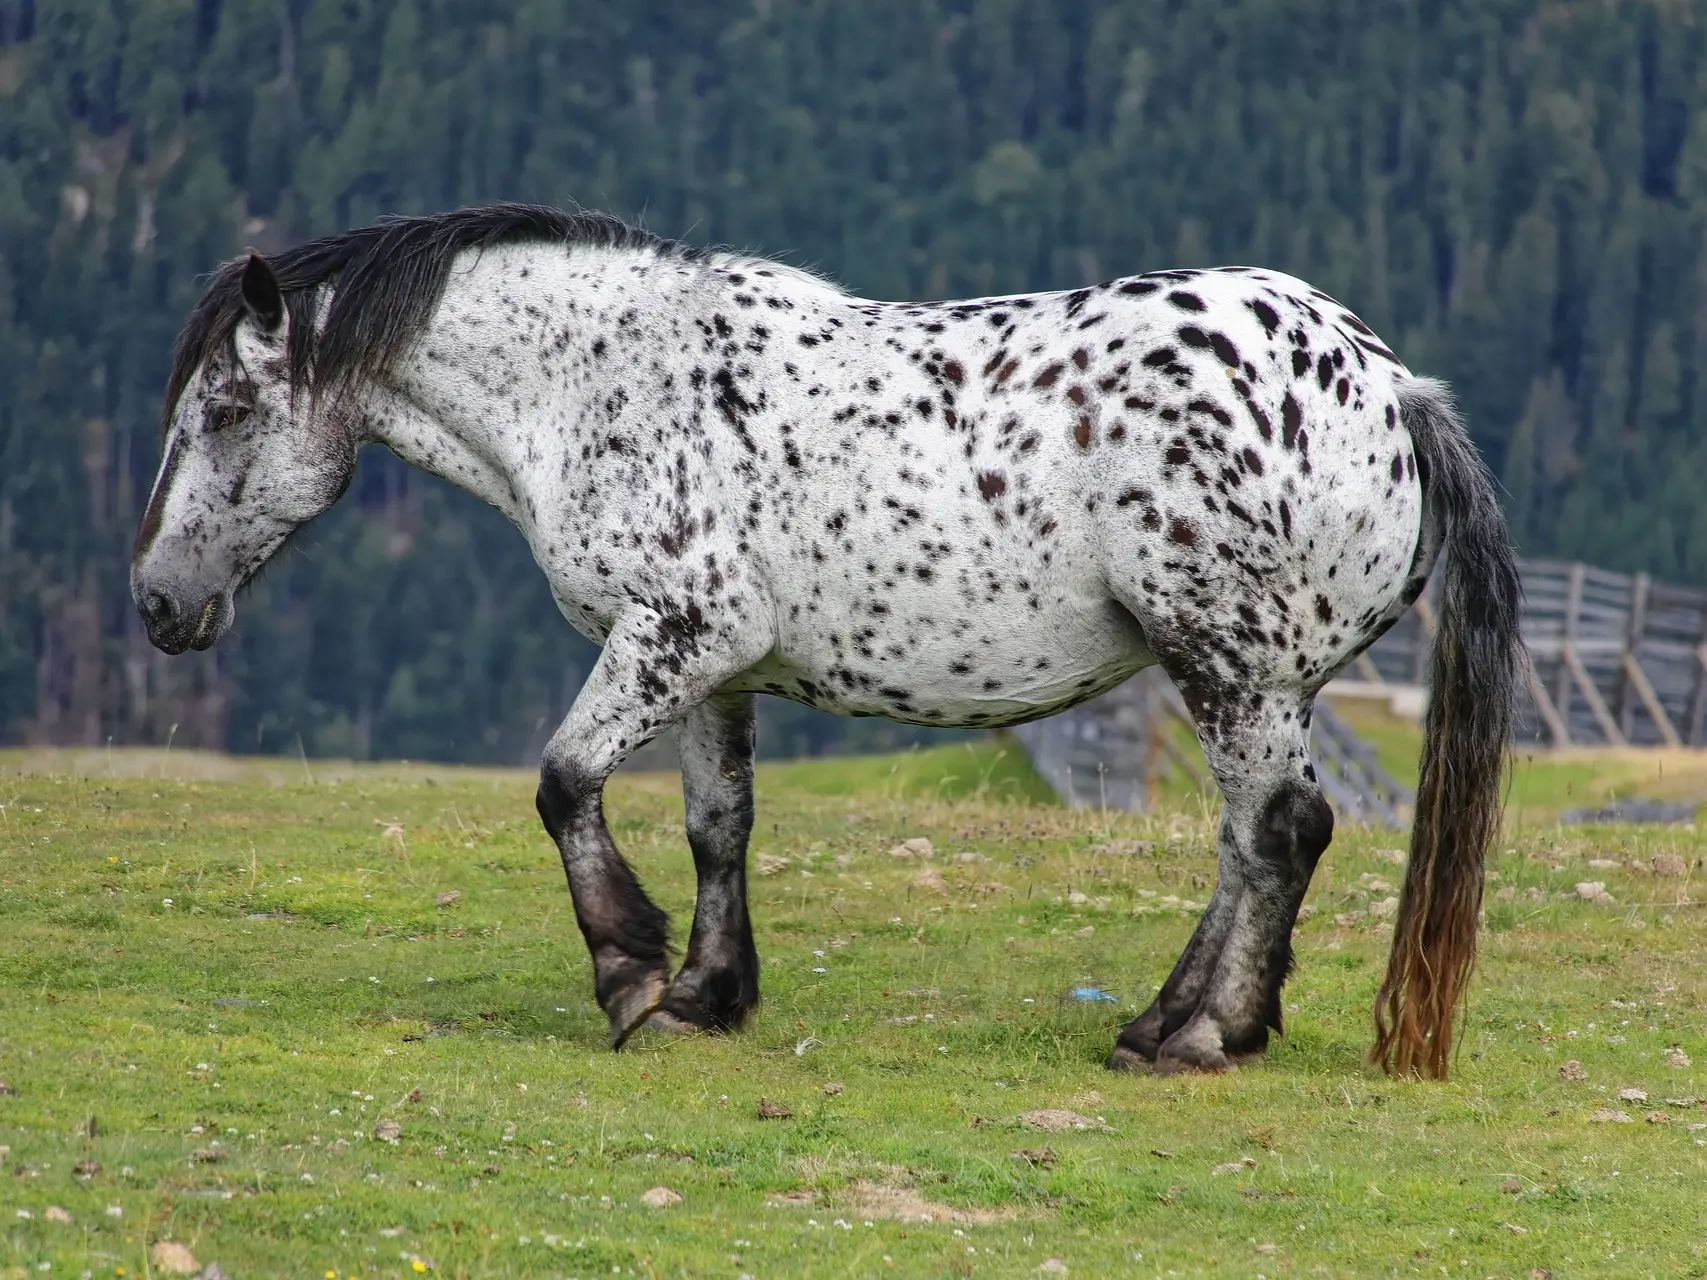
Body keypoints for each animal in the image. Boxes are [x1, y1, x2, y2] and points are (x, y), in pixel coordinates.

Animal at [133, 203, 1522, 1085]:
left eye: (228, 407)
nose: (156, 602)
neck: (605, 381)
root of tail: (1393, 388)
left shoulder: (672, 633)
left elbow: (564, 780)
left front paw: (629, 974)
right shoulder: (711, 668)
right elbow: (718, 825)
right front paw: (707, 994)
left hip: (1229, 667)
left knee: (1278, 830)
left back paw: (1199, 1035)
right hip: (1255, 679)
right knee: (1251, 839)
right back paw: (1170, 1018)